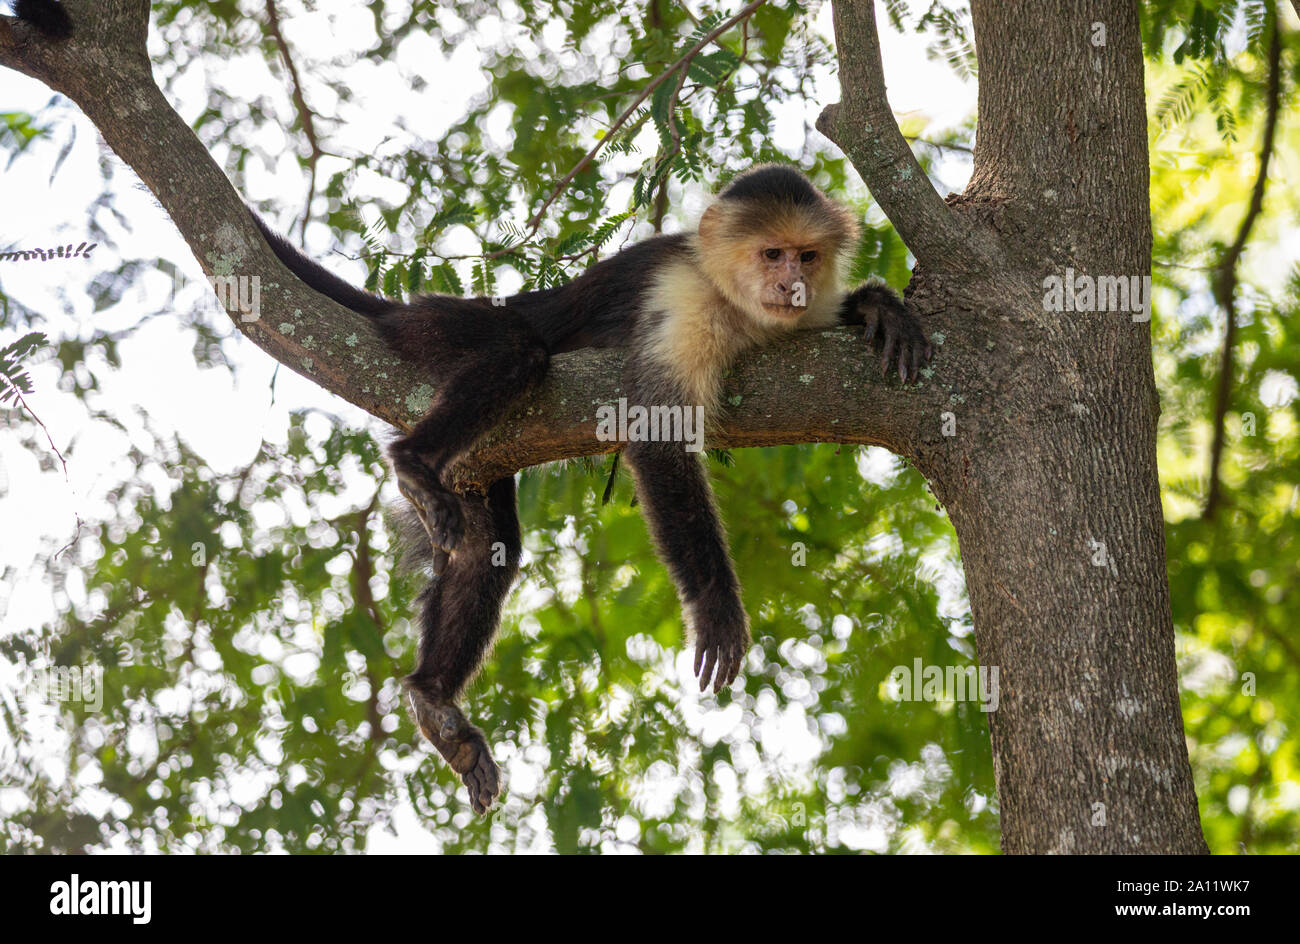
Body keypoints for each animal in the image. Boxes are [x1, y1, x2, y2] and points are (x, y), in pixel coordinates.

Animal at [20, 0, 935, 816]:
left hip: (489, 458)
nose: (790, 283)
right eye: (770, 252)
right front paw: (715, 606)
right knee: (514, 354)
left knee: (488, 540)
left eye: (805, 257)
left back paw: (433, 696)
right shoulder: (685, 299)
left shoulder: (793, 321)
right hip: (442, 330)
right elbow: (658, 437)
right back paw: (417, 458)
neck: (743, 307)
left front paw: (882, 308)